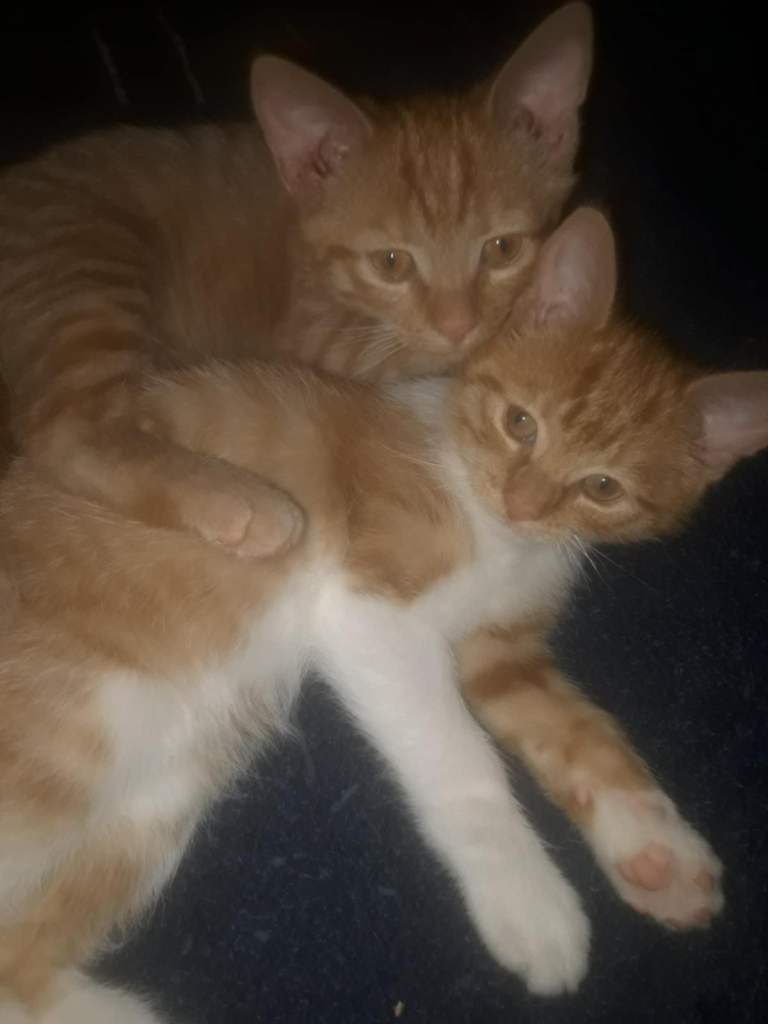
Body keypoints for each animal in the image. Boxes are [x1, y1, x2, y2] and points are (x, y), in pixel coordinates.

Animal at [0, 4, 593, 563]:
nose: (458, 324)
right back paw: (239, 501)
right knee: (62, 433)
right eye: (391, 263)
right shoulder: (317, 336)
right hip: (87, 263)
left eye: (503, 249)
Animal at [2, 205, 766, 1022]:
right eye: (521, 423)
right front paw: (530, 903)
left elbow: (582, 734)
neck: (493, 522)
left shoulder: (501, 652)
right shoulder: (367, 609)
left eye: (603, 487)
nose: (521, 501)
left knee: (16, 960)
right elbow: (461, 758)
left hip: (157, 799)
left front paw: (659, 851)